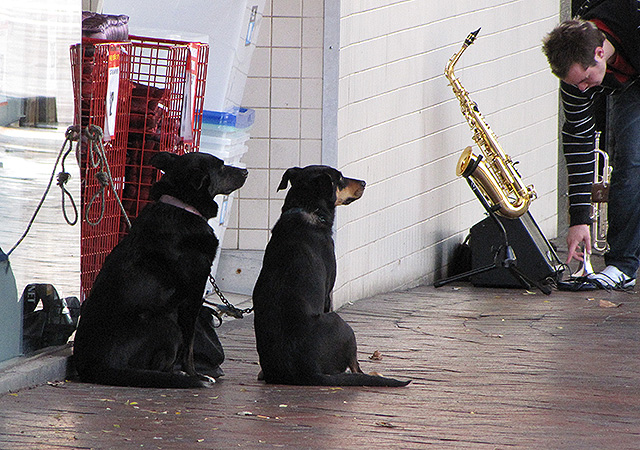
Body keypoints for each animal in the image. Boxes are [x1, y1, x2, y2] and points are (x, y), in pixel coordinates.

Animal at [72, 153, 246, 388]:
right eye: (221, 167)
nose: (246, 172)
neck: (181, 207)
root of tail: (93, 366)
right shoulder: (193, 295)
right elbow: (189, 346)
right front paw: (195, 375)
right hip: (166, 323)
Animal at [251, 166, 410, 386]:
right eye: (340, 179)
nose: (364, 182)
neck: (306, 209)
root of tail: (308, 372)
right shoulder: (328, 293)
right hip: (342, 325)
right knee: (356, 367)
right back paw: (374, 374)